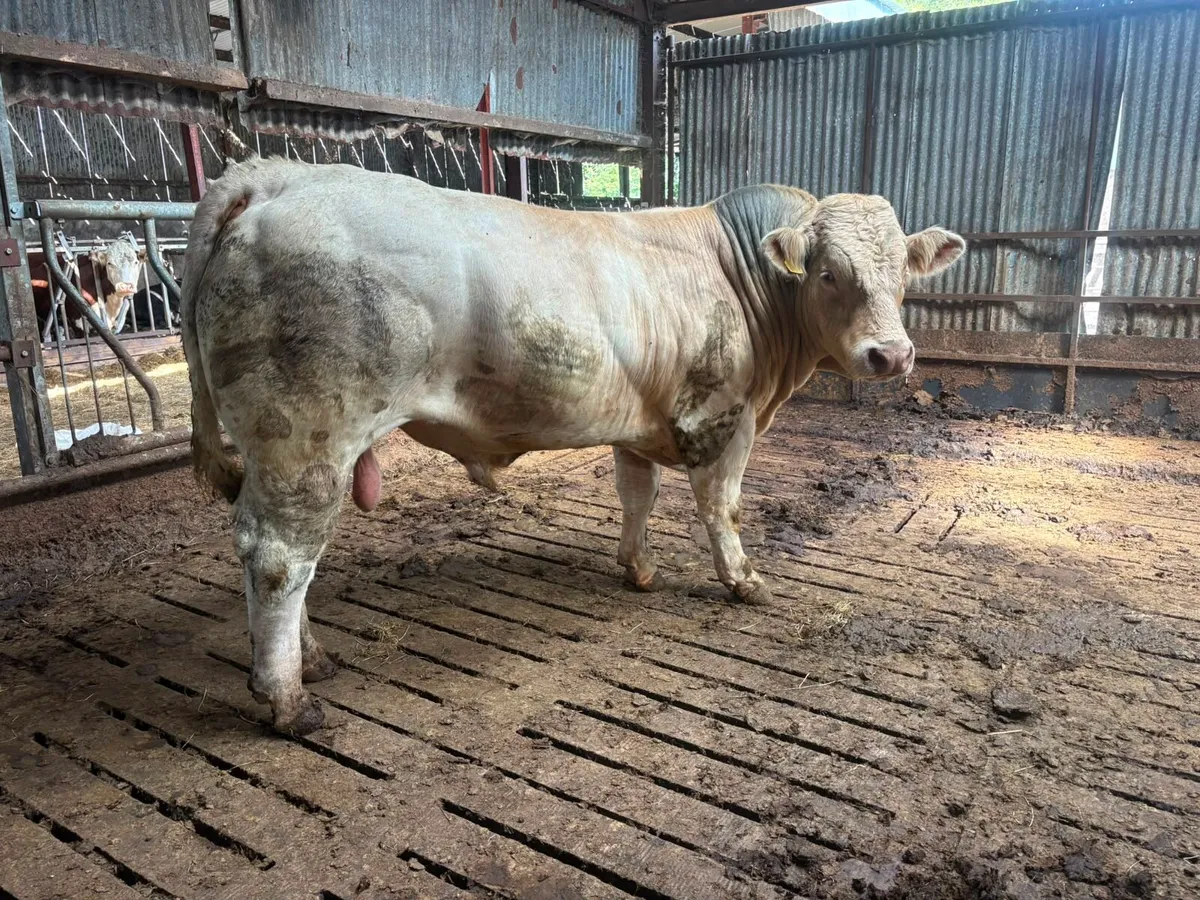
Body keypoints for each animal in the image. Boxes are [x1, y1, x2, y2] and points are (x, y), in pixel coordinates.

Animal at [182, 158, 965, 734]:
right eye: (830, 273)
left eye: (902, 274)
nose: (892, 356)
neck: (741, 277)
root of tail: (275, 176)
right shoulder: (725, 417)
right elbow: (723, 508)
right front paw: (743, 581)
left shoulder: (643, 422)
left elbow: (638, 496)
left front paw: (638, 568)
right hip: (308, 434)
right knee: (280, 558)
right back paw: (288, 698)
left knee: (286, 559)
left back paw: (310, 661)